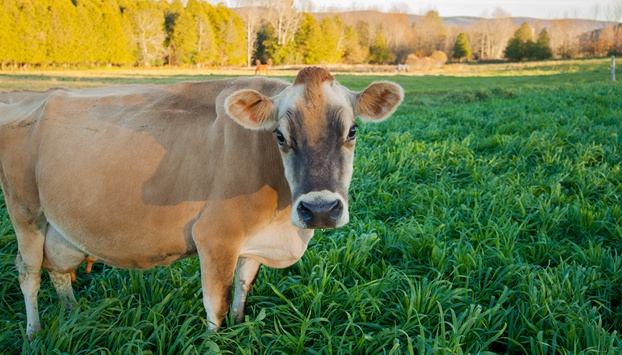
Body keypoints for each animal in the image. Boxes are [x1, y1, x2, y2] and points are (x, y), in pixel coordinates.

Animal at [0, 65, 408, 340]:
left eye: (352, 131)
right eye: (280, 135)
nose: (320, 209)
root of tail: (36, 93)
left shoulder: (251, 242)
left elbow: (244, 287)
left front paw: (241, 327)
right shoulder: (216, 237)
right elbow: (218, 304)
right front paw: (218, 340)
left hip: (60, 227)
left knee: (58, 270)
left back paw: (72, 314)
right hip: (25, 213)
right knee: (29, 273)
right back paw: (34, 333)